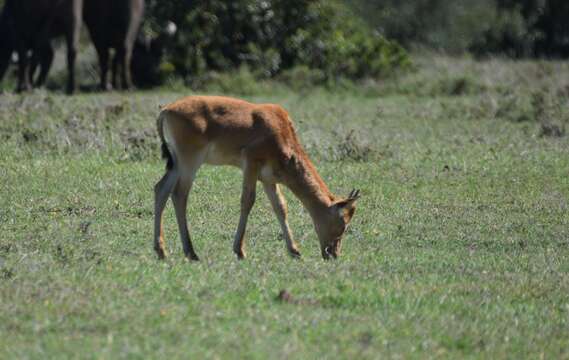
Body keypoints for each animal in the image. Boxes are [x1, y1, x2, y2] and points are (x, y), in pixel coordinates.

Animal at [154, 95, 360, 258]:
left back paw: (161, 250)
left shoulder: (269, 179)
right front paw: (240, 250)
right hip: (190, 163)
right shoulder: (251, 164)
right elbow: (248, 201)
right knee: (179, 195)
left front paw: (294, 251)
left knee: (161, 189)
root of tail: (167, 110)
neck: (279, 127)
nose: (332, 254)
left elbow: (280, 207)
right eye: (343, 223)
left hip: (176, 165)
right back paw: (191, 252)